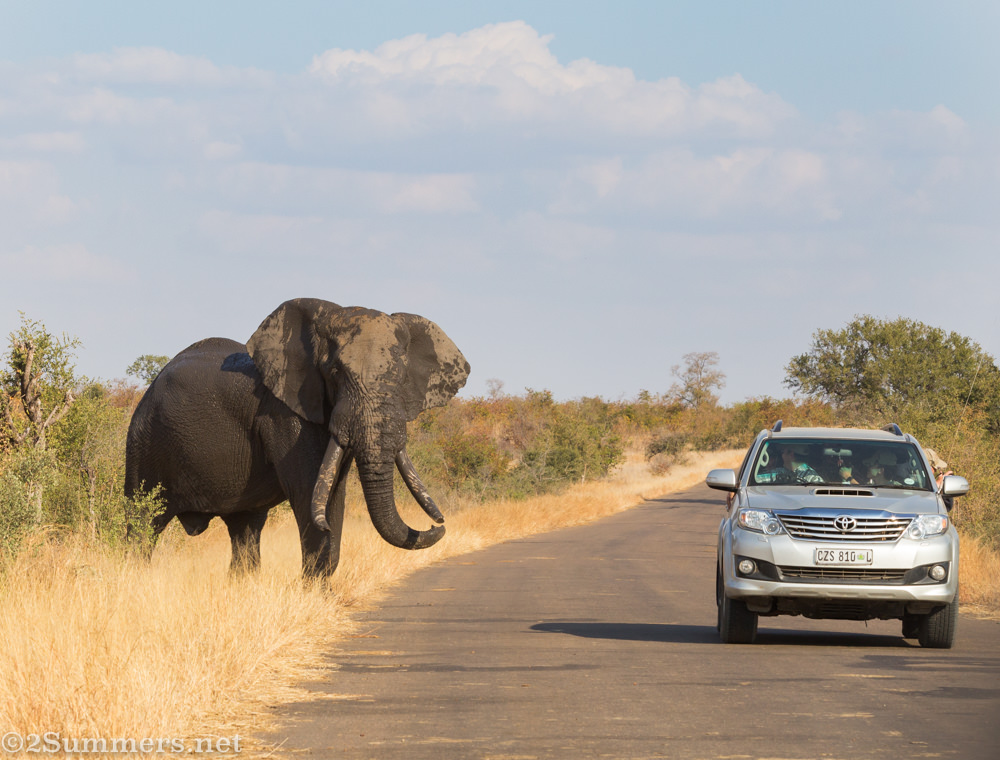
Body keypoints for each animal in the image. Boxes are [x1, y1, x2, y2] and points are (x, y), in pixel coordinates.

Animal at [124, 298, 470, 577]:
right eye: (335, 373)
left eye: (401, 377)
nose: (438, 524)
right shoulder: (285, 416)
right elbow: (310, 493)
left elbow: (334, 493)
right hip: (144, 441)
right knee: (141, 525)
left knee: (244, 530)